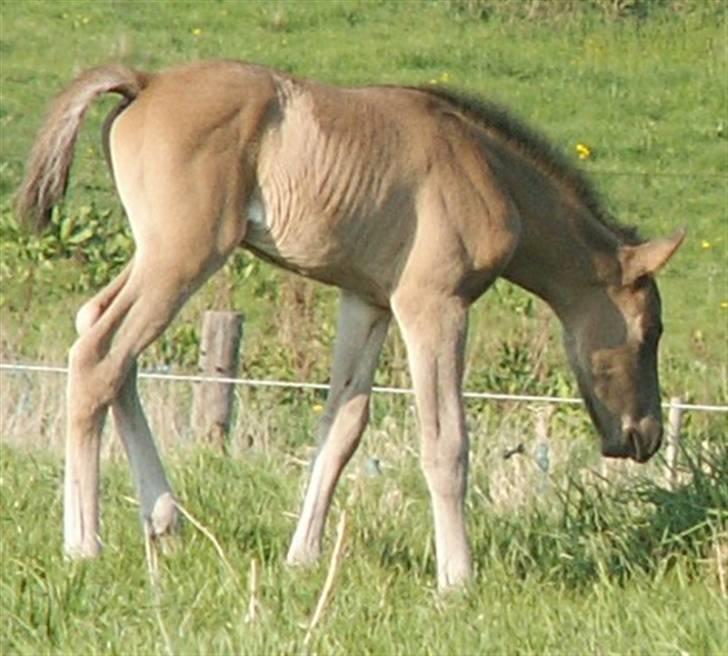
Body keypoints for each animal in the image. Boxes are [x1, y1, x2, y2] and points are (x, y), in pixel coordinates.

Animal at [19, 61, 684, 592]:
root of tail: (146, 81)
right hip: (184, 256)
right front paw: (457, 579)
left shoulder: (367, 302)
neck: (485, 169)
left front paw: (303, 557)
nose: (645, 434)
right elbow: (447, 442)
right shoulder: (432, 304)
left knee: (100, 332)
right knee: (100, 356)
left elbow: (342, 427)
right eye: (650, 331)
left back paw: (163, 520)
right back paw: (84, 543)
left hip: (158, 256)